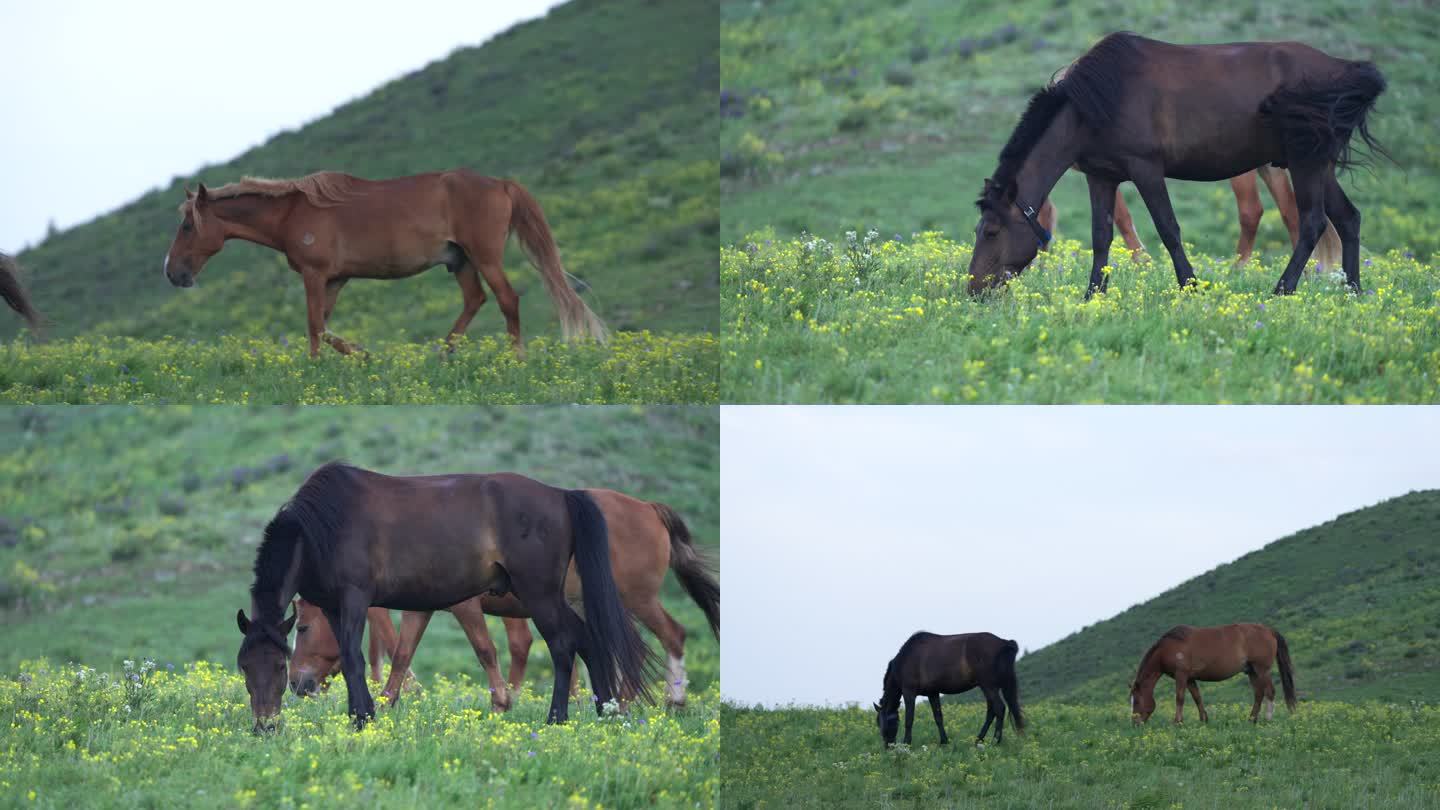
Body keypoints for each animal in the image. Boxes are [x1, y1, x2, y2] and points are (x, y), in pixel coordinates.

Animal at [163, 169, 607, 353]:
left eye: (186, 225)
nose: (172, 272)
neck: (293, 213)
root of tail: (502, 184)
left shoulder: (315, 274)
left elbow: (315, 328)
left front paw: (356, 357)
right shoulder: (335, 280)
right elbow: (321, 327)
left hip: (483, 257)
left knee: (507, 300)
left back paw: (515, 361)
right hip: (460, 261)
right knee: (475, 301)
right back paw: (441, 357)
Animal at [234, 461, 659, 732]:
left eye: (278, 666)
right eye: (244, 667)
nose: (264, 727)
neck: (323, 527)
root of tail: (562, 495)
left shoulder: (355, 599)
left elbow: (355, 659)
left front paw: (363, 720)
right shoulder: (337, 607)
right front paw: (363, 713)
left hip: (539, 594)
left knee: (564, 644)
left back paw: (557, 718)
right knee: (587, 639)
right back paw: (604, 711)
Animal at [864, 631, 1025, 743]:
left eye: (883, 722)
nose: (888, 746)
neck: (905, 660)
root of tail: (1004, 643)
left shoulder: (909, 692)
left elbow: (909, 719)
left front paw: (906, 743)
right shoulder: (932, 693)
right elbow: (938, 717)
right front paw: (944, 741)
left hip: (988, 686)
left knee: (999, 708)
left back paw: (995, 741)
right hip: (991, 687)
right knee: (992, 711)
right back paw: (978, 739)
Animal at [973, 31, 1388, 298]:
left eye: (991, 231)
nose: (973, 289)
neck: (1095, 102)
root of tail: (1346, 70)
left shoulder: (1146, 170)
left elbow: (1168, 229)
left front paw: (1190, 286)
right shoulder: (1101, 177)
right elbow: (1101, 236)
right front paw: (1093, 295)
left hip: (1305, 164)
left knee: (1312, 222)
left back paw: (1282, 290)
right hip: (1319, 165)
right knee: (1348, 218)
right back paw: (1353, 291)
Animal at [1128, 619, 1301, 720]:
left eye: (1136, 700)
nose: (1135, 723)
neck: (1168, 649)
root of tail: (1269, 630)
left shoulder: (1181, 675)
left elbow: (1180, 698)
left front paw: (1178, 722)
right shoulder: (1190, 678)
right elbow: (1197, 698)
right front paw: (1204, 720)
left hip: (1262, 670)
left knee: (1269, 691)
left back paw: (1267, 718)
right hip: (1252, 671)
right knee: (1258, 694)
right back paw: (1251, 719)